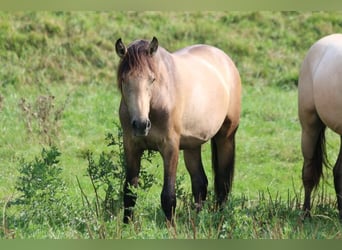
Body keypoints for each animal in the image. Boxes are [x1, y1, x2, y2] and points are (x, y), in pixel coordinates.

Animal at [116, 36, 242, 223]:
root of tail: (225, 60)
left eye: (152, 79)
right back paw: (196, 221)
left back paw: (218, 219)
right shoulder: (132, 147)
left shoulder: (170, 148)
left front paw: (171, 228)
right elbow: (129, 194)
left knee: (223, 184)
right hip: (192, 146)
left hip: (225, 136)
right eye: (124, 80)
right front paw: (127, 226)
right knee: (200, 183)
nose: (141, 124)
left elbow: (168, 197)